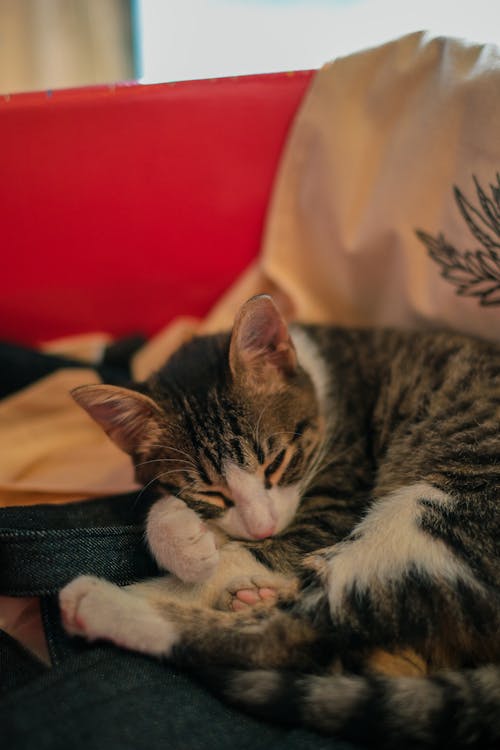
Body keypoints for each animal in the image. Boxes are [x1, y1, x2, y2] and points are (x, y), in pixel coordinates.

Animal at [59, 296, 500, 750]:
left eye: (276, 463)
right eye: (211, 493)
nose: (263, 527)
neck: (324, 385)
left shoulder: (336, 499)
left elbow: (250, 556)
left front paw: (197, 568)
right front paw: (185, 540)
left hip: (438, 511)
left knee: (289, 636)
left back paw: (105, 604)